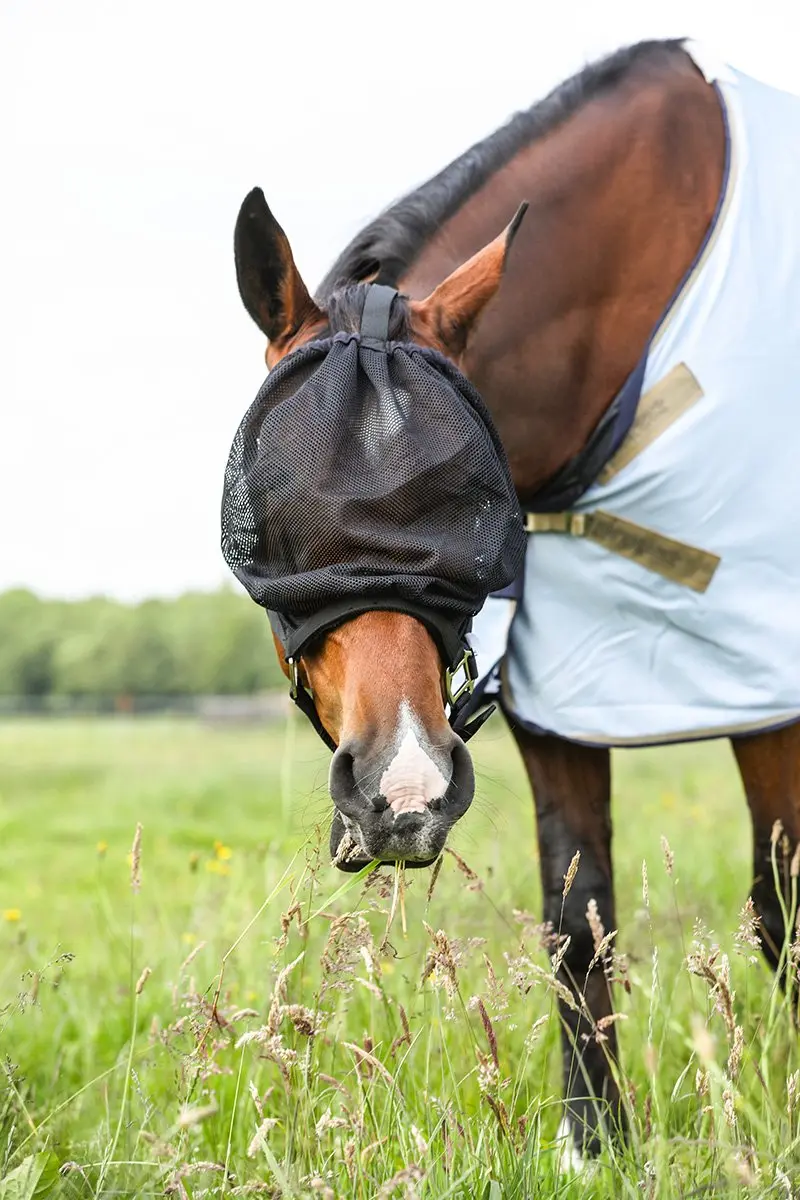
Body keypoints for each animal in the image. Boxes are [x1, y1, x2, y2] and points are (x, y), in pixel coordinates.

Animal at [227, 38, 800, 1160]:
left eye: (467, 497)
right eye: (276, 507)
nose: (400, 791)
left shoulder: (767, 691)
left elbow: (780, 908)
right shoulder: (568, 690)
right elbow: (577, 920)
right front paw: (596, 1142)